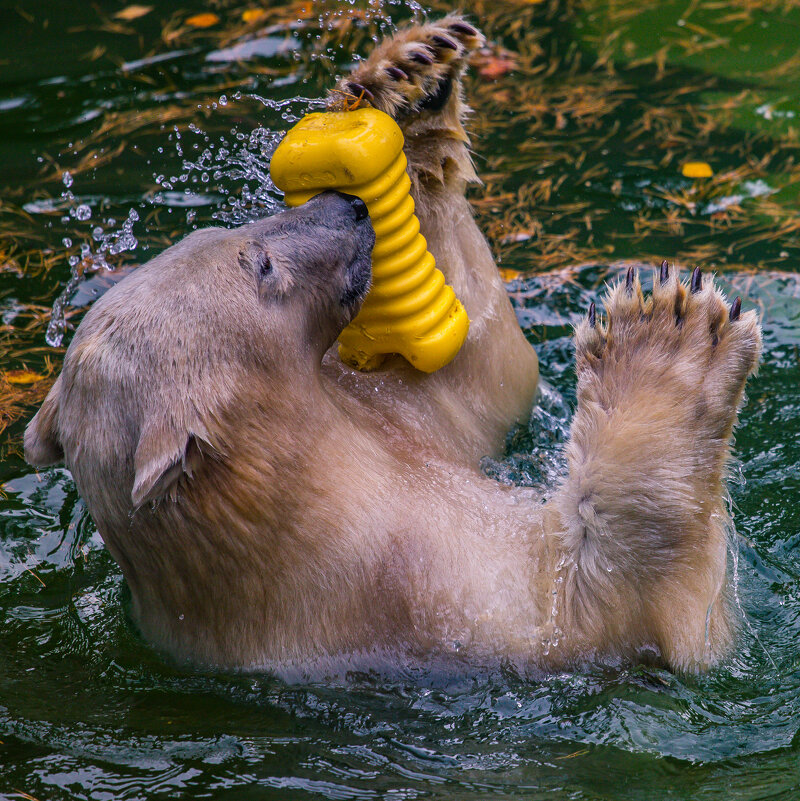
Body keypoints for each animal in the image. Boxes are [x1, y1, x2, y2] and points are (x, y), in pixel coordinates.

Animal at [25, 17, 760, 676]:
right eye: (260, 264)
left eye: (218, 233)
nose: (347, 208)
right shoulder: (420, 600)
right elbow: (609, 601)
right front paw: (669, 338)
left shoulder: (397, 435)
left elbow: (484, 371)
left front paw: (408, 82)